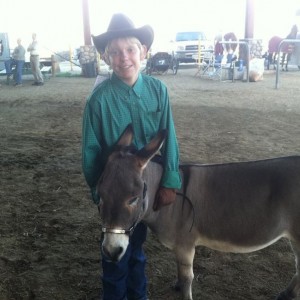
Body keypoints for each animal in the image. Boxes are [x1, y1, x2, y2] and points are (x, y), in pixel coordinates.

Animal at [96, 123, 300, 300]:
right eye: (100, 196)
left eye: (134, 199)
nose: (111, 251)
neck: (170, 200)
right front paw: (177, 285)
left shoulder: (185, 245)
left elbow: (187, 277)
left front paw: (184, 292)